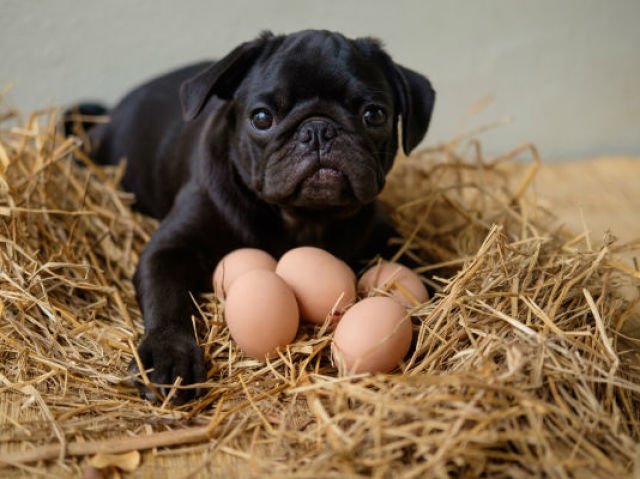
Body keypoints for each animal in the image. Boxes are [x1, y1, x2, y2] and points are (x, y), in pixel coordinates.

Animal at [79, 30, 436, 404]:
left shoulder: (387, 236)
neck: (304, 220)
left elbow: (421, 265)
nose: (318, 129)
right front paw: (168, 353)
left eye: (374, 115)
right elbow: (166, 298)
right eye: (262, 118)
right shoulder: (169, 249)